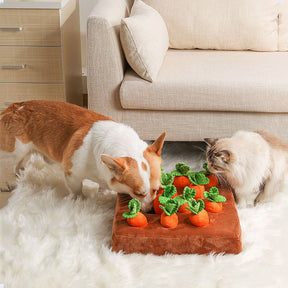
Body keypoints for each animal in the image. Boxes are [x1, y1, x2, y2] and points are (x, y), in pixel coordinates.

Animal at [0, 100, 165, 212]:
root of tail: (11, 109)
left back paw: (20, 172)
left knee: (20, 161)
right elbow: (77, 190)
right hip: (13, 151)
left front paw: (102, 192)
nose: (151, 210)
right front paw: (80, 201)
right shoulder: (72, 174)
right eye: (138, 193)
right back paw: (7, 184)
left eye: (157, 189)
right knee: (7, 165)